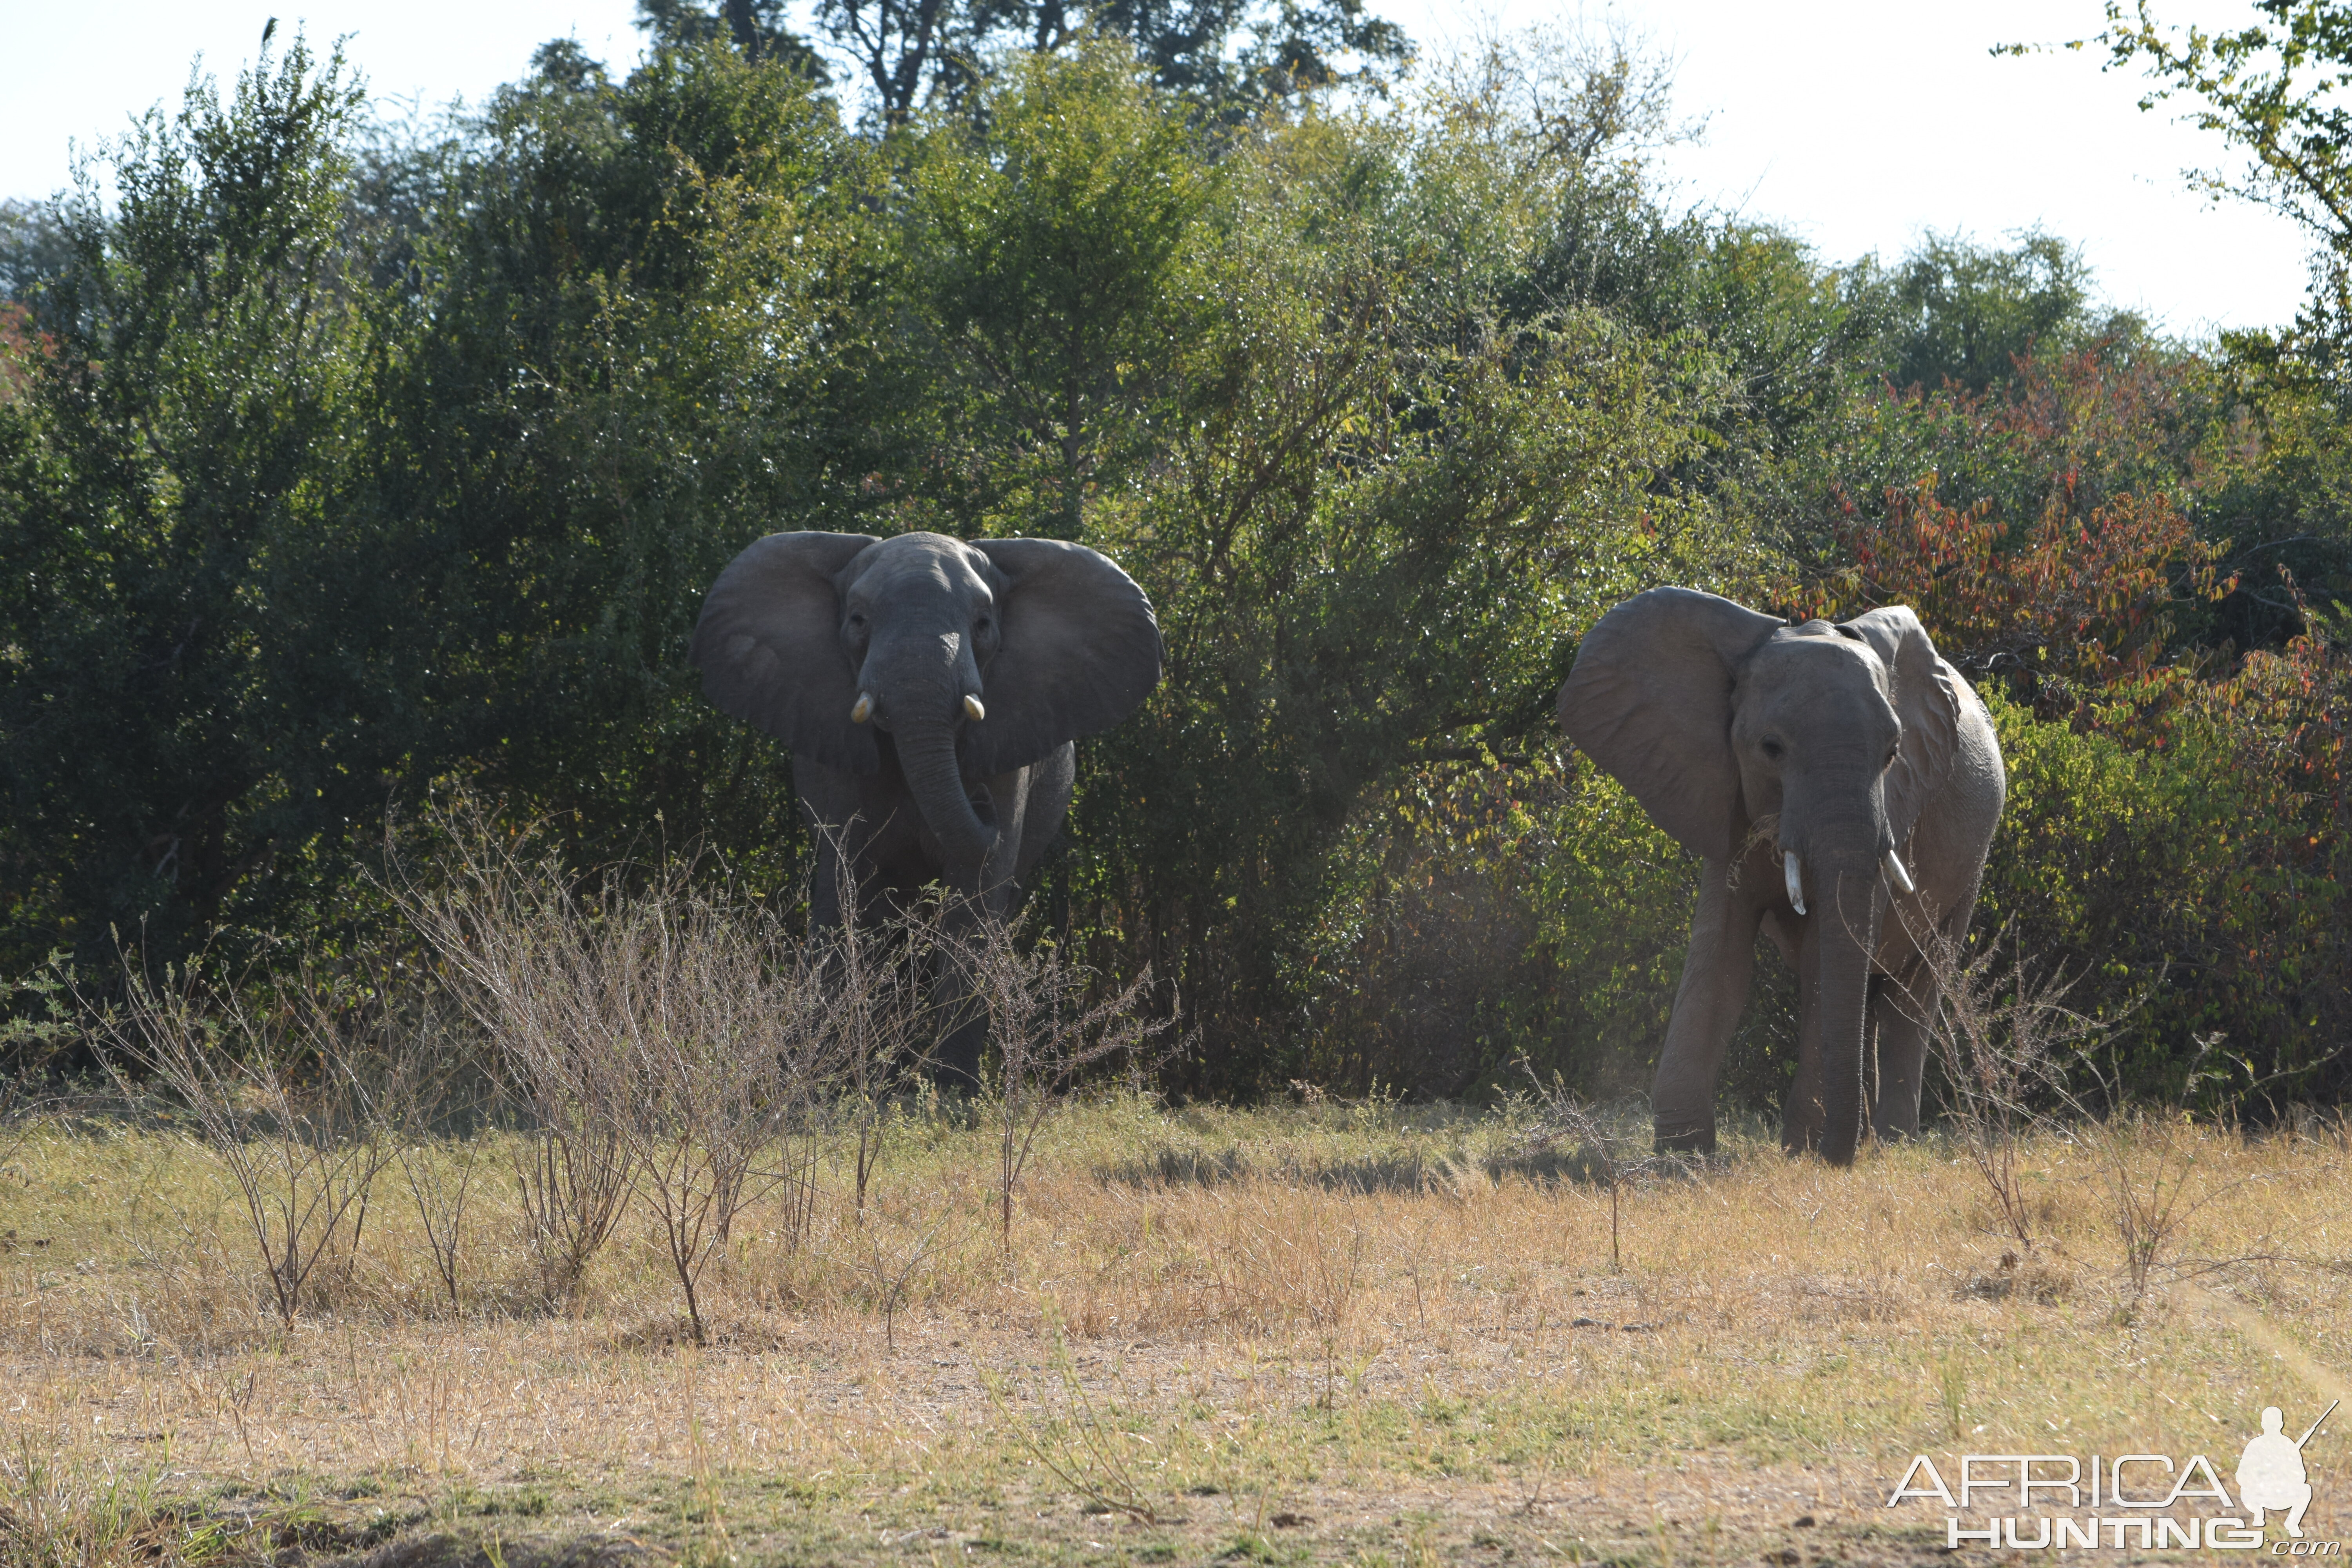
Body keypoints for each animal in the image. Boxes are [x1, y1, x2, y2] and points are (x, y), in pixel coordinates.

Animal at [687, 534, 1167, 1086]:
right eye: (858, 620)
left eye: (983, 624)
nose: (979, 800)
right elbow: (844, 885)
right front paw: (821, 1085)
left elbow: (975, 900)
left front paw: (951, 1093)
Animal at [1562, 588, 2004, 1166]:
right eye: (1771, 749)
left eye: (1893, 754)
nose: (1835, 1160)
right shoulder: (1724, 796)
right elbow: (1721, 959)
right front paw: (1685, 1159)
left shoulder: (1894, 811)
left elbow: (1824, 959)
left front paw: (1802, 1155)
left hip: (1974, 860)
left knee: (1914, 992)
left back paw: (1888, 1146)